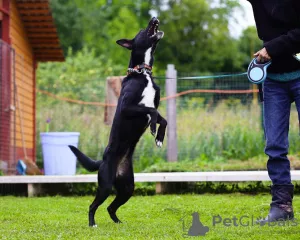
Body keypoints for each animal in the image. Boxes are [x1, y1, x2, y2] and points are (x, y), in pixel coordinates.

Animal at [69, 16, 168, 227]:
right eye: (142, 30)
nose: (154, 17)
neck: (141, 73)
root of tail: (103, 161)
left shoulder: (155, 104)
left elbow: (162, 118)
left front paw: (159, 138)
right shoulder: (127, 107)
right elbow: (152, 111)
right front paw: (153, 128)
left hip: (128, 187)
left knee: (110, 207)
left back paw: (118, 222)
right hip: (106, 185)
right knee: (93, 205)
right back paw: (92, 224)